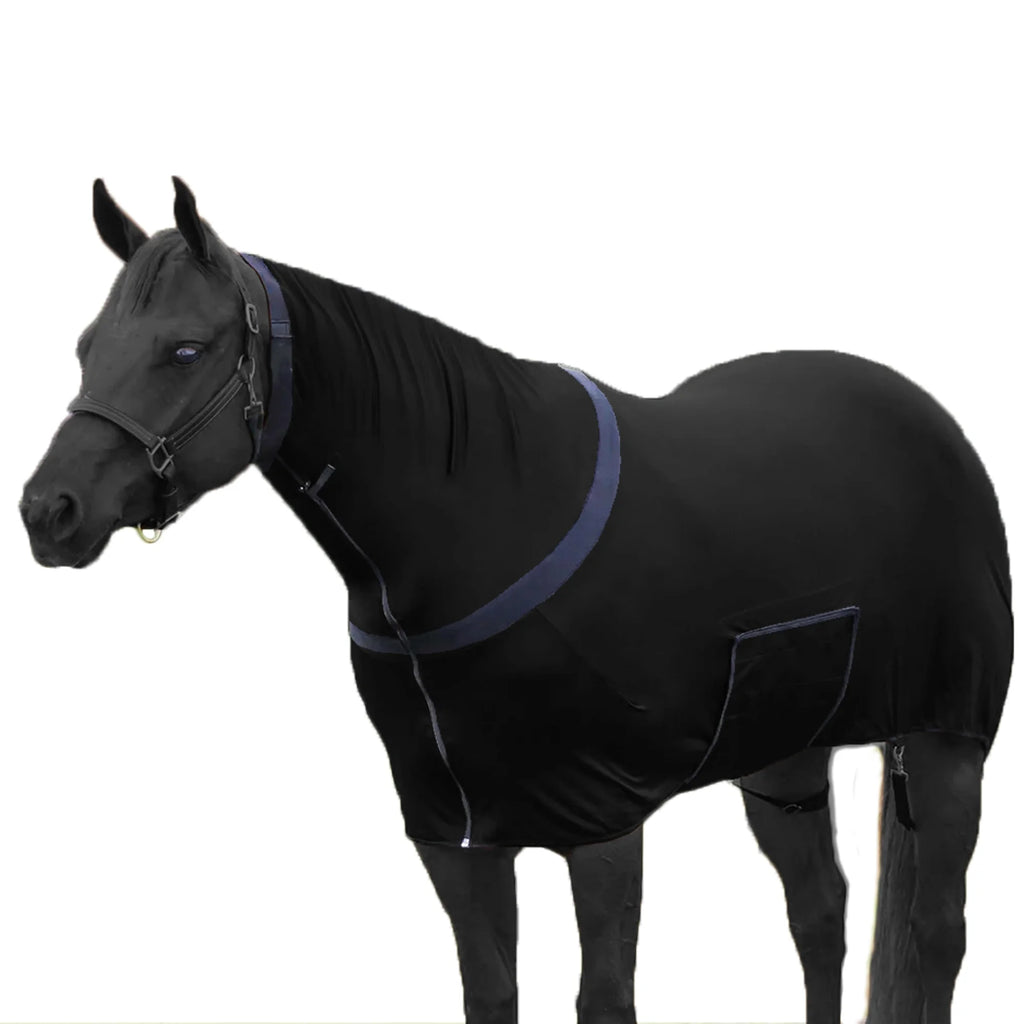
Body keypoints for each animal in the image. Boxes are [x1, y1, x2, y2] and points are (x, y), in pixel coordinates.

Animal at [20, 178, 1013, 1024]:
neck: (485, 520)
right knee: (820, 912)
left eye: (185, 349)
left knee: (936, 934)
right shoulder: (456, 834)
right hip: (785, 756)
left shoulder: (601, 822)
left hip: (945, 744)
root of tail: (928, 419)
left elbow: (603, 999)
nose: (47, 512)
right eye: (86, 347)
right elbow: (491, 992)